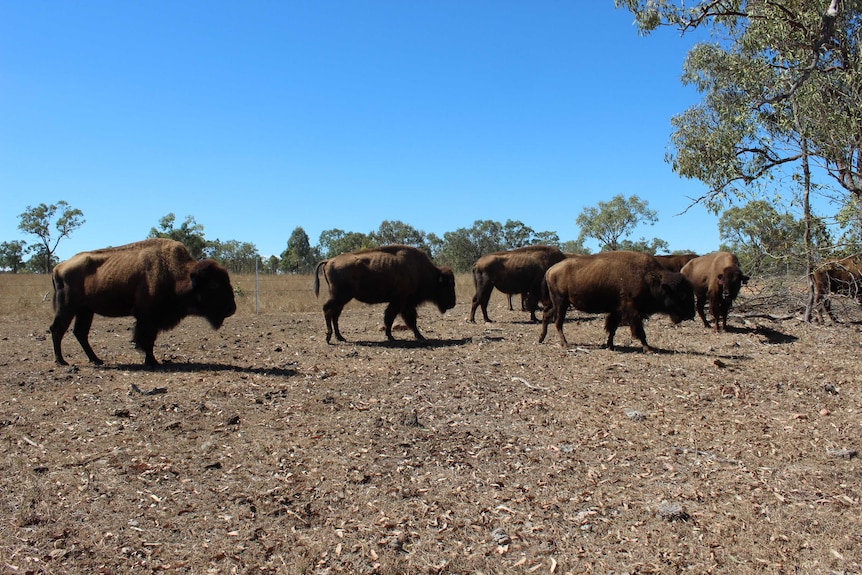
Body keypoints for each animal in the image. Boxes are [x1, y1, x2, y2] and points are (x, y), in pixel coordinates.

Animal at [50, 240, 240, 368]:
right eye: (214, 285)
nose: (232, 309)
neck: (176, 274)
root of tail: (58, 267)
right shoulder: (147, 318)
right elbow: (146, 340)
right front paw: (152, 362)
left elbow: (149, 340)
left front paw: (152, 361)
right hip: (68, 307)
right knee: (57, 329)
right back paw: (62, 361)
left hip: (85, 310)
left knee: (80, 333)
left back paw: (96, 360)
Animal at [316, 245, 460, 344]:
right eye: (448, 285)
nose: (452, 303)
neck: (420, 271)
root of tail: (329, 261)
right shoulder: (401, 302)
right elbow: (398, 319)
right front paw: (399, 337)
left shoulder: (402, 303)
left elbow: (396, 318)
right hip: (340, 297)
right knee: (327, 310)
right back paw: (329, 337)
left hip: (341, 299)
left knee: (335, 315)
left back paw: (340, 337)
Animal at [536, 254, 700, 354]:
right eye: (681, 295)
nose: (691, 313)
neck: (651, 279)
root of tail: (550, 270)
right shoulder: (632, 311)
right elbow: (639, 331)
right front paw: (648, 348)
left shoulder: (617, 311)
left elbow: (612, 328)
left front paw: (610, 345)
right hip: (561, 303)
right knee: (558, 322)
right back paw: (564, 344)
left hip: (558, 304)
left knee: (546, 315)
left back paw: (541, 339)